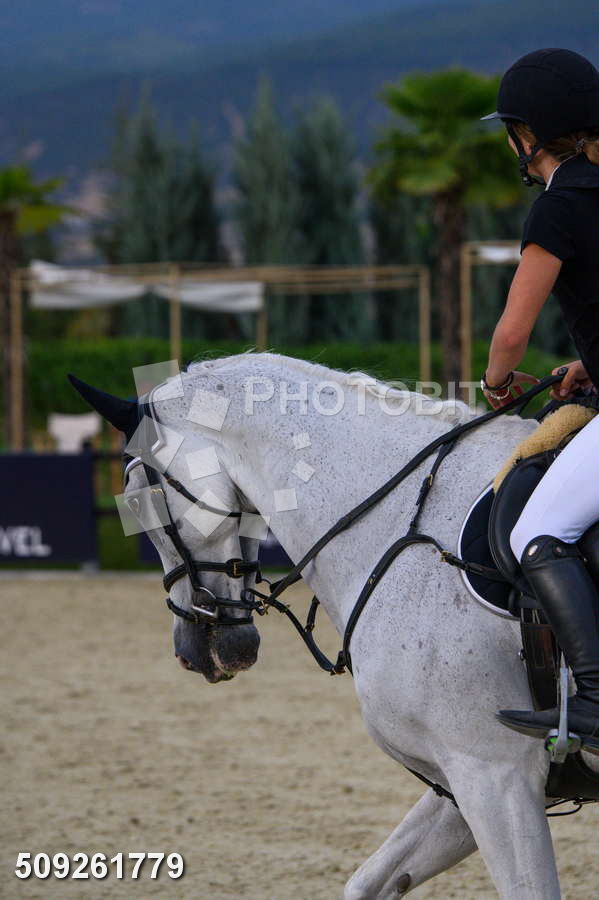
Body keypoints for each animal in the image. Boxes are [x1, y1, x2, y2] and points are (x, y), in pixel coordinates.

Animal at [72, 351, 599, 898]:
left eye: (138, 499)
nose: (194, 652)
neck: (402, 516)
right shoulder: (469, 782)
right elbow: (368, 882)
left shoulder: (494, 773)